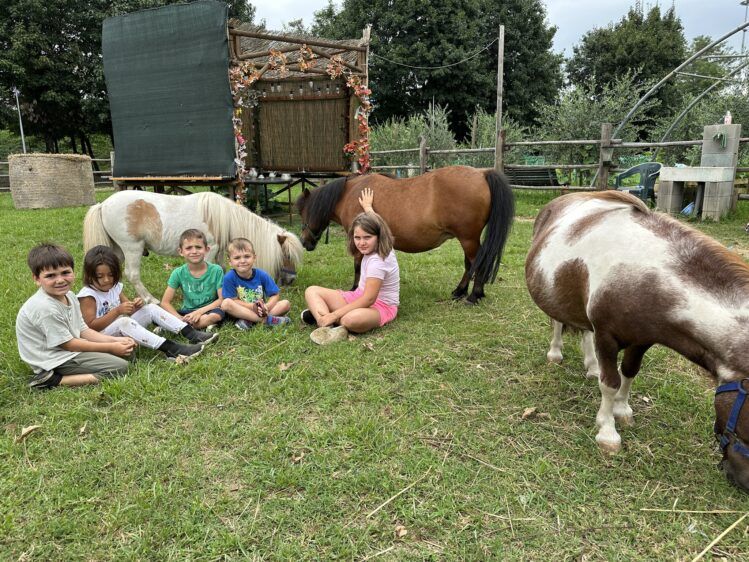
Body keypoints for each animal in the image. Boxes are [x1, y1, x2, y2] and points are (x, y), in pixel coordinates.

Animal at [296, 164, 516, 300]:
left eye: (303, 213)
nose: (305, 242)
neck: (352, 194)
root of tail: (482, 173)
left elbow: (358, 267)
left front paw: (355, 288)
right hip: (467, 239)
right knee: (470, 264)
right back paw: (460, 291)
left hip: (468, 238)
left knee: (477, 262)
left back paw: (474, 295)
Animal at [524, 190, 748, 488]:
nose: (742, 480)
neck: (644, 276)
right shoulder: (607, 336)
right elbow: (610, 383)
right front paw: (607, 432)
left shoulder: (642, 340)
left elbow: (629, 373)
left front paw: (622, 410)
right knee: (558, 322)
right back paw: (556, 353)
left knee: (585, 331)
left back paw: (591, 366)